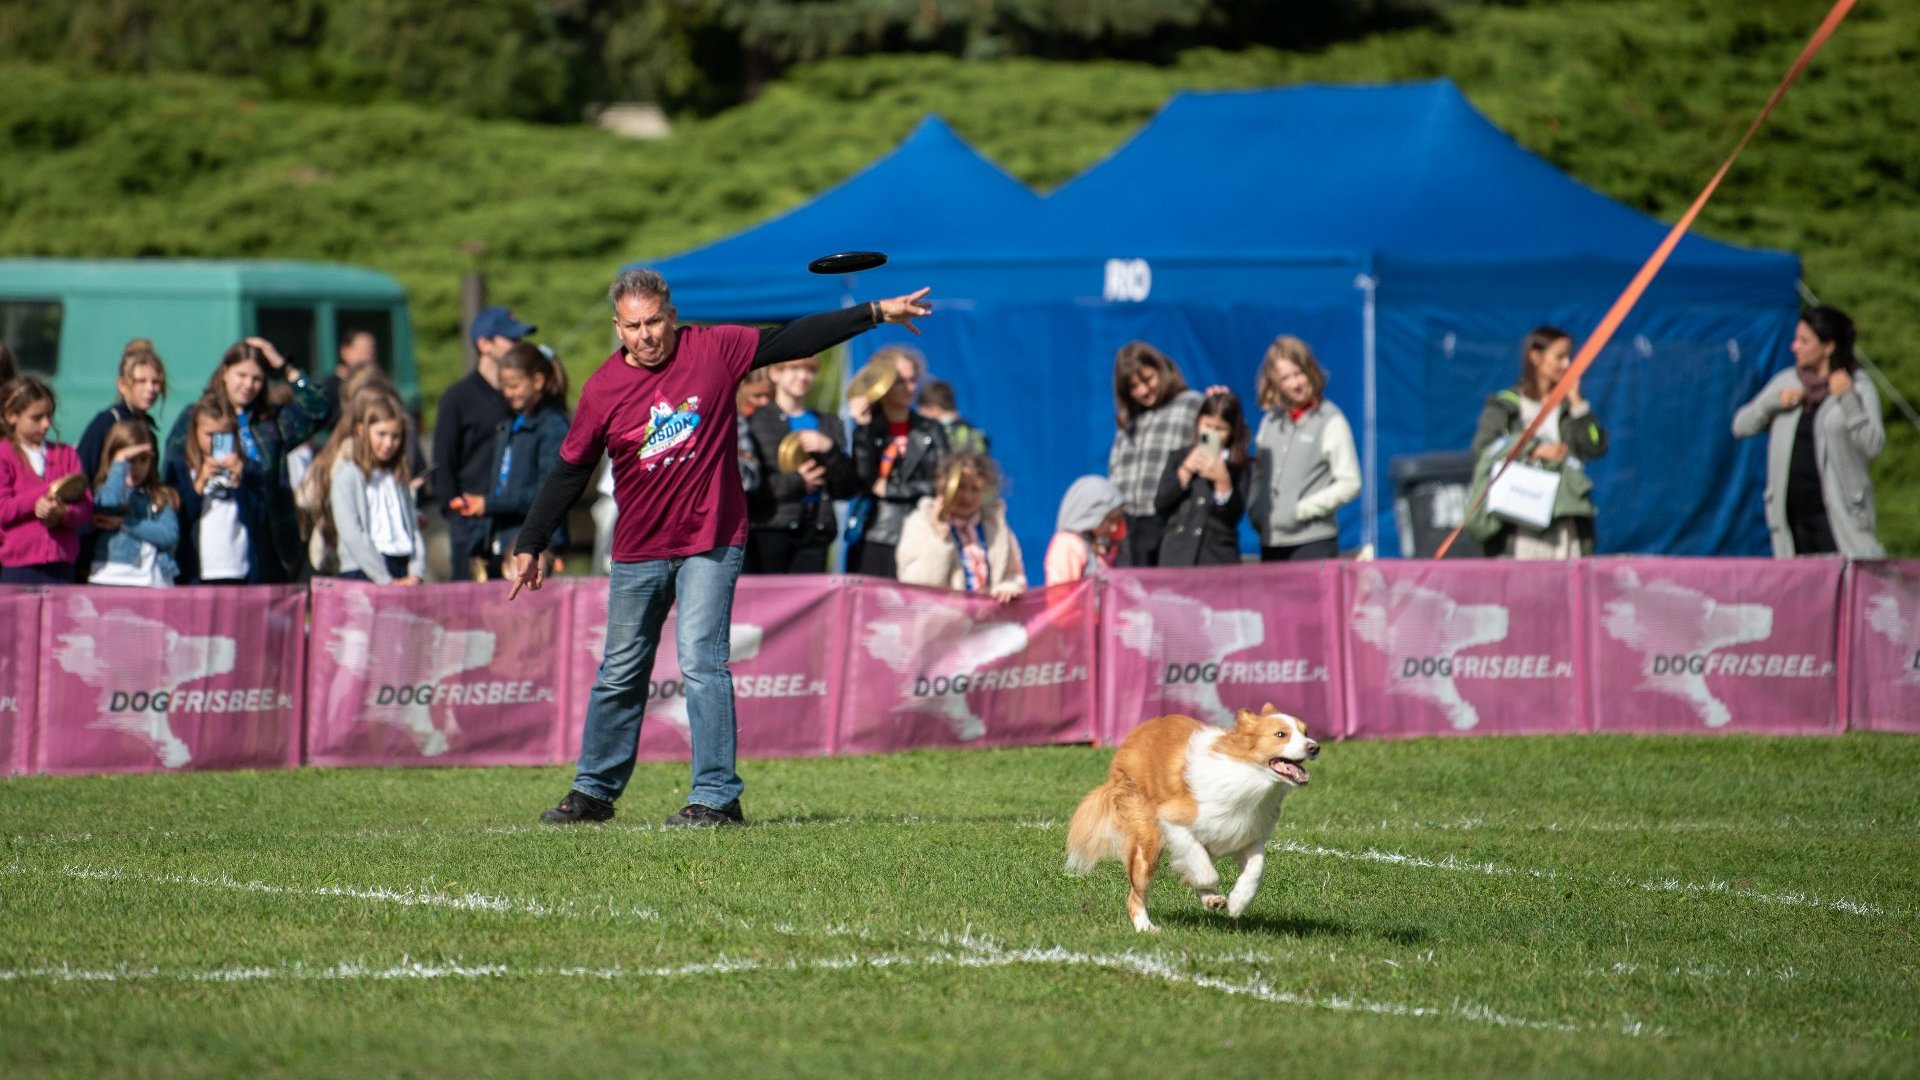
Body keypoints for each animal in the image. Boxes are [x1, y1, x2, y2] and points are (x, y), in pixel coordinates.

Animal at [1067, 703, 1320, 930]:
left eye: (1306, 732)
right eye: (1281, 734)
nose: (1315, 748)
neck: (1247, 774)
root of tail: (1133, 737)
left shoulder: (1247, 832)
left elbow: (1256, 869)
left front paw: (1238, 902)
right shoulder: (1173, 819)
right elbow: (1200, 863)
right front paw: (1209, 885)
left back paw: (1212, 900)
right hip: (1146, 839)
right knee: (1136, 893)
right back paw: (1146, 927)